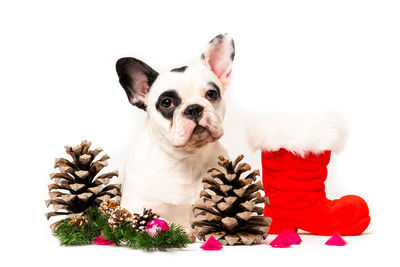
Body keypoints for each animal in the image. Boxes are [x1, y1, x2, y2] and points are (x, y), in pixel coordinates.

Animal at [115, 34, 234, 229]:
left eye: (211, 93)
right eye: (167, 102)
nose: (193, 109)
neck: (186, 160)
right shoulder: (133, 209)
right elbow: (162, 221)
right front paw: (184, 231)